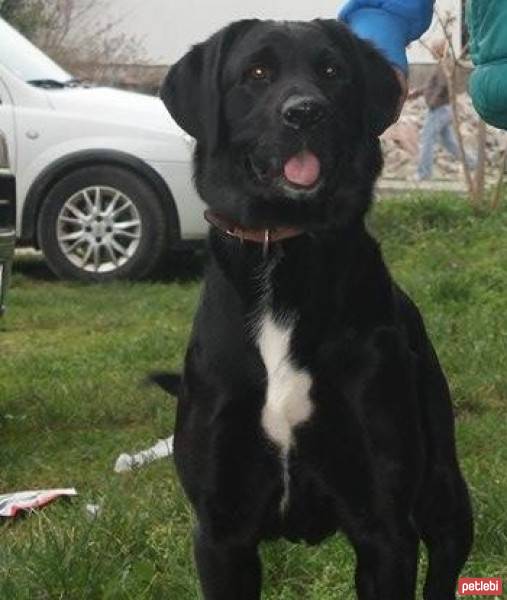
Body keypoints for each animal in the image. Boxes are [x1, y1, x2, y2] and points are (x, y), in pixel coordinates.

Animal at [158, 18, 472, 600]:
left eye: (332, 71)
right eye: (257, 72)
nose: (305, 112)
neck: (287, 255)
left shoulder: (384, 526)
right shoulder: (220, 531)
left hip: (444, 492)